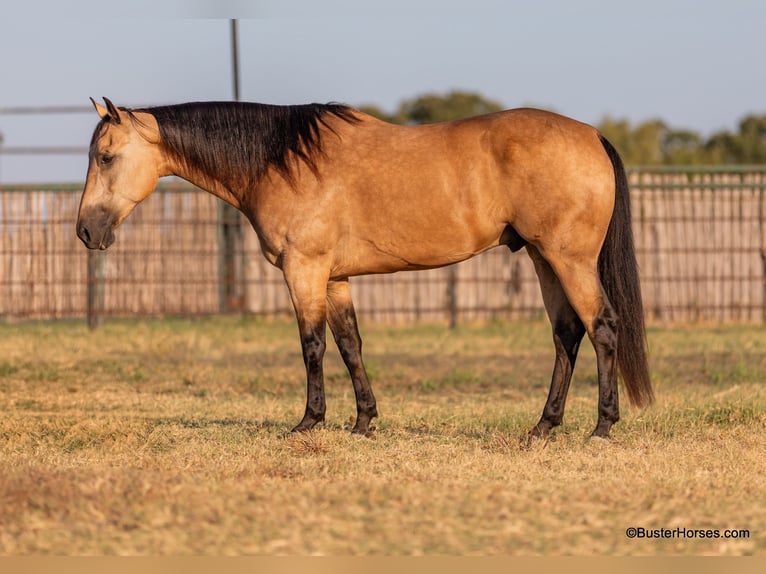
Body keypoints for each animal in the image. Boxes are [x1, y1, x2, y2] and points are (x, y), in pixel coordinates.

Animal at [76, 97, 653, 440]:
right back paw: (543, 427)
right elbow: (350, 344)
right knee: (566, 336)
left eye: (105, 157)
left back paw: (602, 427)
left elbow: (312, 346)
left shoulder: (304, 271)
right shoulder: (334, 278)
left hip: (568, 260)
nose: (85, 231)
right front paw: (363, 422)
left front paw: (309, 422)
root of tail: (592, 136)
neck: (284, 160)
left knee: (602, 327)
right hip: (541, 258)